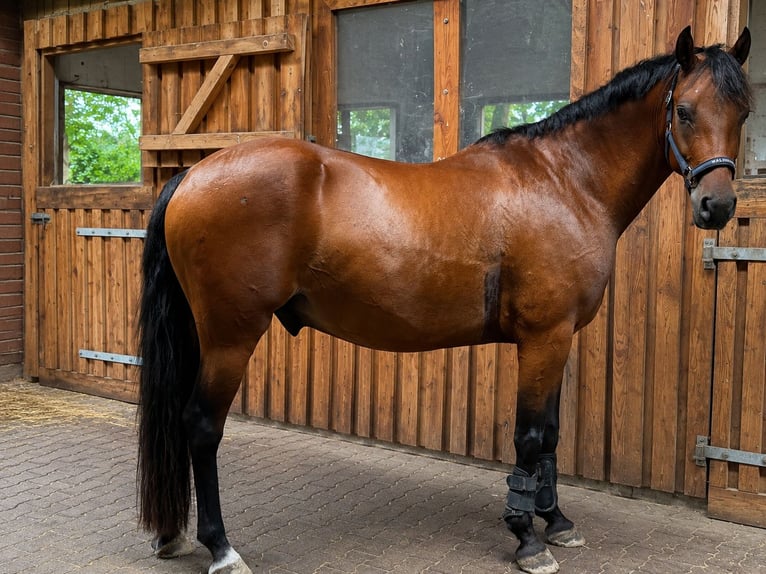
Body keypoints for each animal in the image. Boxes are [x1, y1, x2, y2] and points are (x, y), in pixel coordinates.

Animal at [137, 27, 752, 574]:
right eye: (685, 112)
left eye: (743, 113)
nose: (717, 207)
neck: (564, 182)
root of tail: (193, 174)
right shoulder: (544, 338)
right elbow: (530, 437)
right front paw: (527, 539)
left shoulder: (557, 339)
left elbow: (550, 438)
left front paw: (556, 522)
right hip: (231, 335)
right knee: (201, 426)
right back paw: (222, 549)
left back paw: (175, 537)